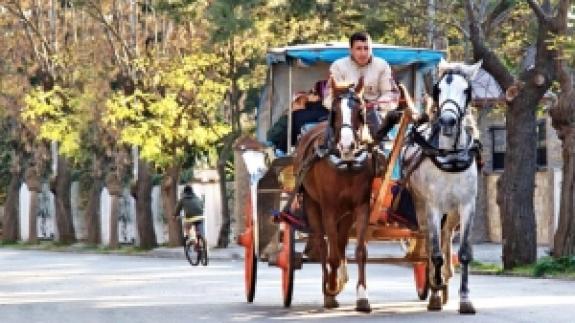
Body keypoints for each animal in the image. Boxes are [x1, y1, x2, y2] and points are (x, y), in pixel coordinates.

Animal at [296, 79, 374, 312]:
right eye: (335, 112)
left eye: (360, 111)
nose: (347, 145)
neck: (346, 163)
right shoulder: (328, 208)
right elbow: (332, 256)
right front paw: (330, 288)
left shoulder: (361, 206)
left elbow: (359, 251)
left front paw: (362, 296)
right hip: (312, 204)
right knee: (323, 245)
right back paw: (328, 288)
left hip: (345, 214)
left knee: (339, 243)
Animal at [404, 59, 482, 316]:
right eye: (438, 90)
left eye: (466, 90)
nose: (447, 121)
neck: (451, 157)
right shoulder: (432, 207)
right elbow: (435, 253)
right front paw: (435, 293)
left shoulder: (467, 206)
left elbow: (464, 253)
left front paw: (465, 299)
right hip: (421, 208)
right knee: (430, 244)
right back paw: (435, 285)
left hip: (453, 212)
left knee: (447, 236)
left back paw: (445, 279)